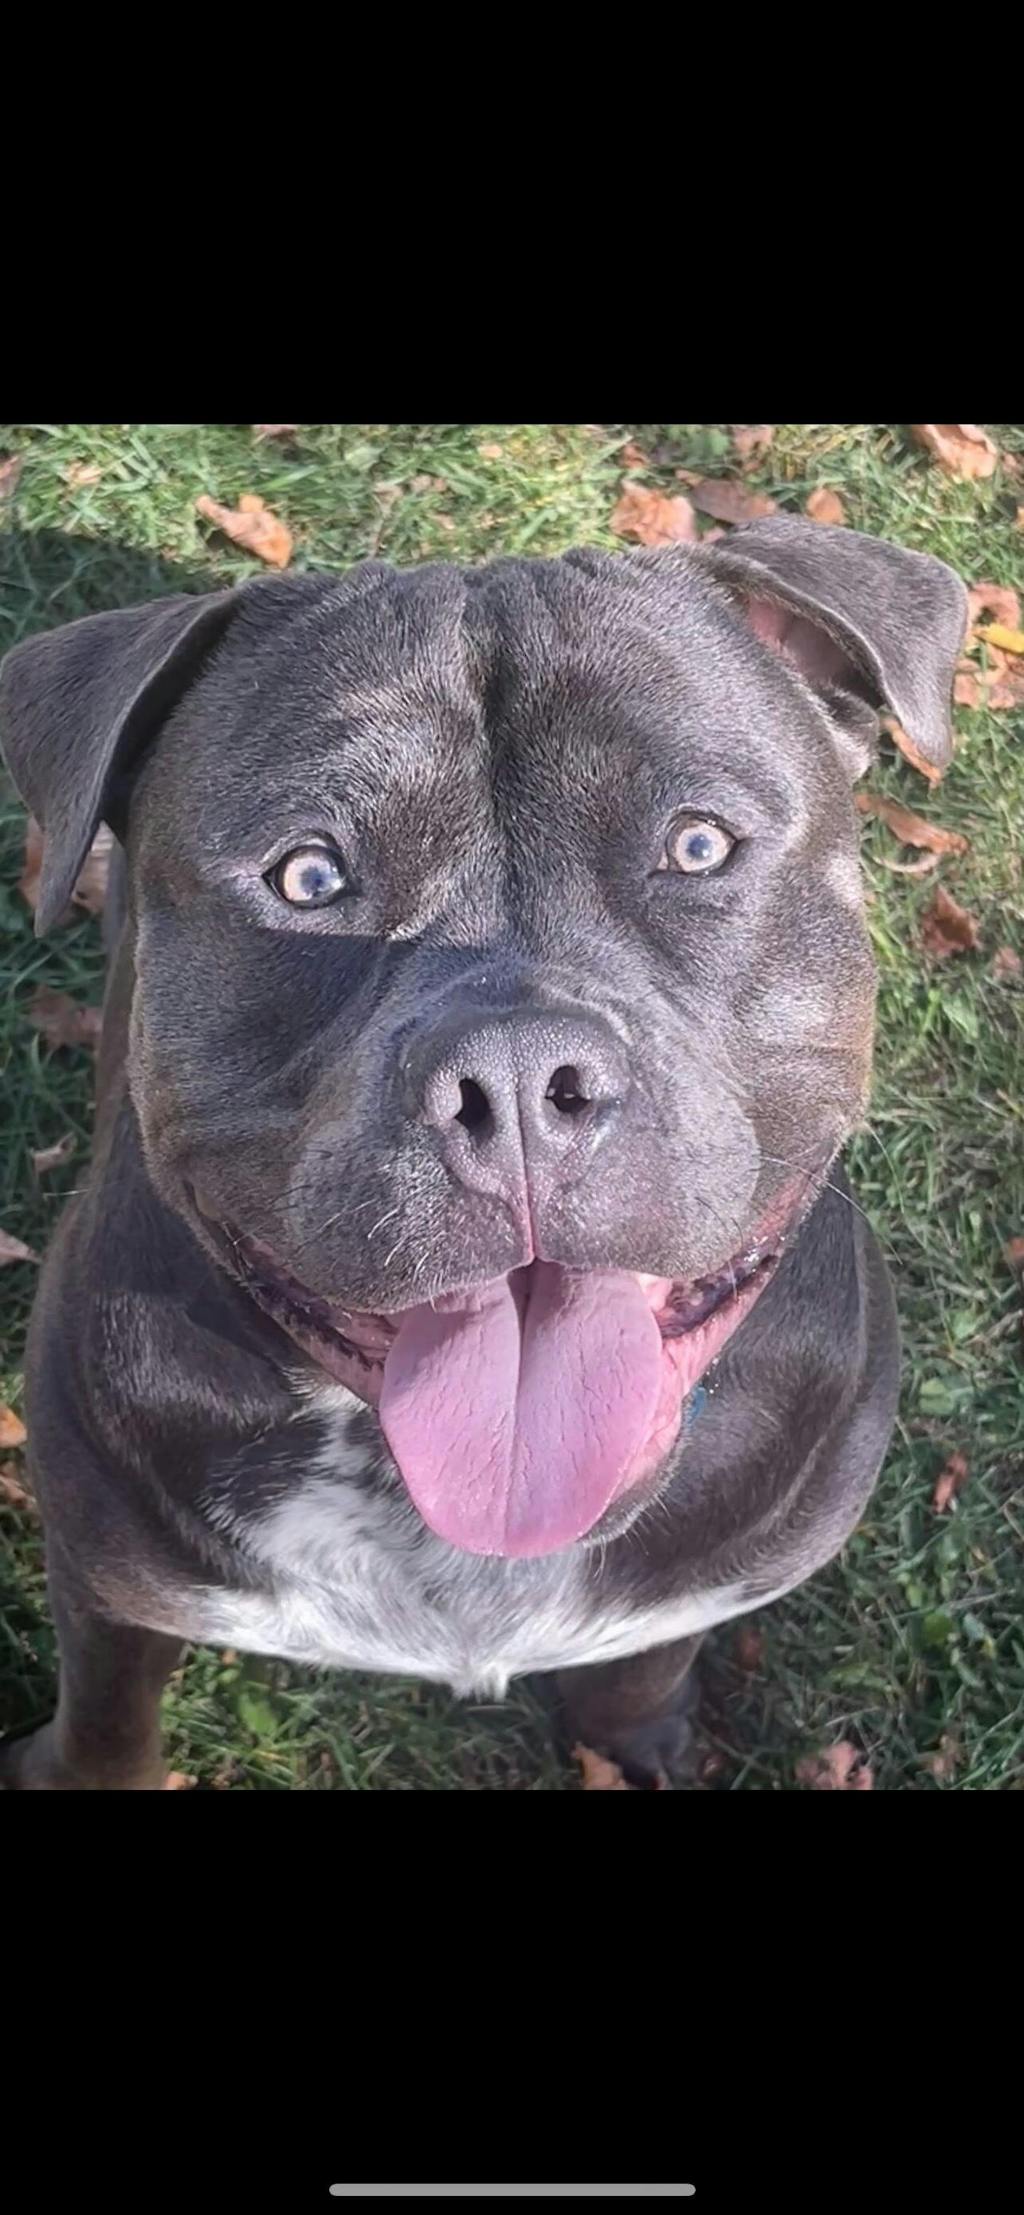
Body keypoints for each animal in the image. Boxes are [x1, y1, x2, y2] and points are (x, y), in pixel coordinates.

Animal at [0, 519, 967, 1789]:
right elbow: (108, 1718)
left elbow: (642, 1664)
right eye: (308, 877)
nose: (512, 1079)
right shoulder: (109, 1584)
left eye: (696, 845)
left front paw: (634, 1736)